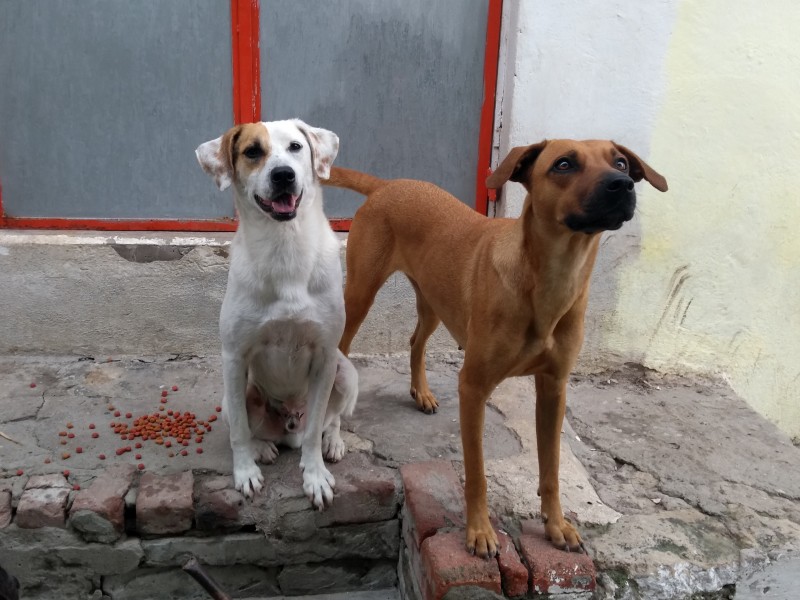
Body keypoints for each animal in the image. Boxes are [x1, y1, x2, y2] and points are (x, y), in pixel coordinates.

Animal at [195, 119, 358, 508]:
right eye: (252, 151)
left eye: (296, 146)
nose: (283, 174)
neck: (285, 248)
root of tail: (287, 430)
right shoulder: (234, 356)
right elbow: (239, 431)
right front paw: (245, 472)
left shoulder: (326, 355)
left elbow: (315, 430)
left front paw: (315, 476)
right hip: (234, 394)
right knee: (246, 425)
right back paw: (263, 448)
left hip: (346, 371)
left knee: (329, 420)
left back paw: (333, 441)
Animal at [324, 141, 668, 556]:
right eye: (563, 164)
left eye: (619, 162)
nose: (622, 184)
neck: (550, 282)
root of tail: (389, 185)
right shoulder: (473, 388)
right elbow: (477, 472)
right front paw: (480, 532)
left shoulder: (554, 388)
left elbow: (551, 468)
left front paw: (556, 525)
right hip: (360, 296)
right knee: (340, 355)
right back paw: (332, 435)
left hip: (435, 301)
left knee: (415, 341)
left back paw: (421, 392)